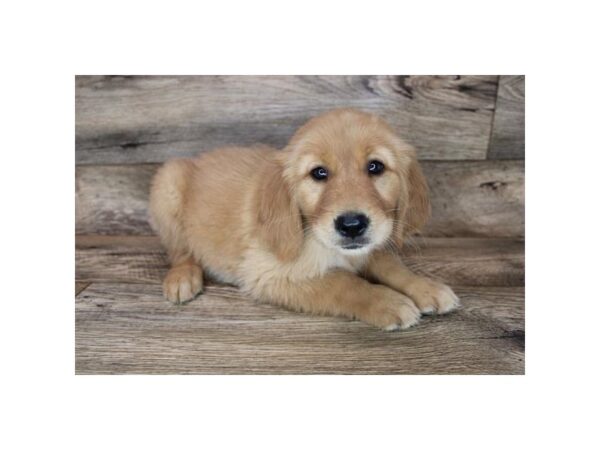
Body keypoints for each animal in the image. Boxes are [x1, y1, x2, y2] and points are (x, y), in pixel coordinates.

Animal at [150, 107, 460, 328]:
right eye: (318, 173)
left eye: (376, 167)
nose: (352, 225)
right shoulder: (268, 273)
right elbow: (343, 282)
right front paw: (387, 301)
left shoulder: (370, 246)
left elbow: (391, 264)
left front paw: (425, 287)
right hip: (168, 184)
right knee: (180, 251)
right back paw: (183, 277)